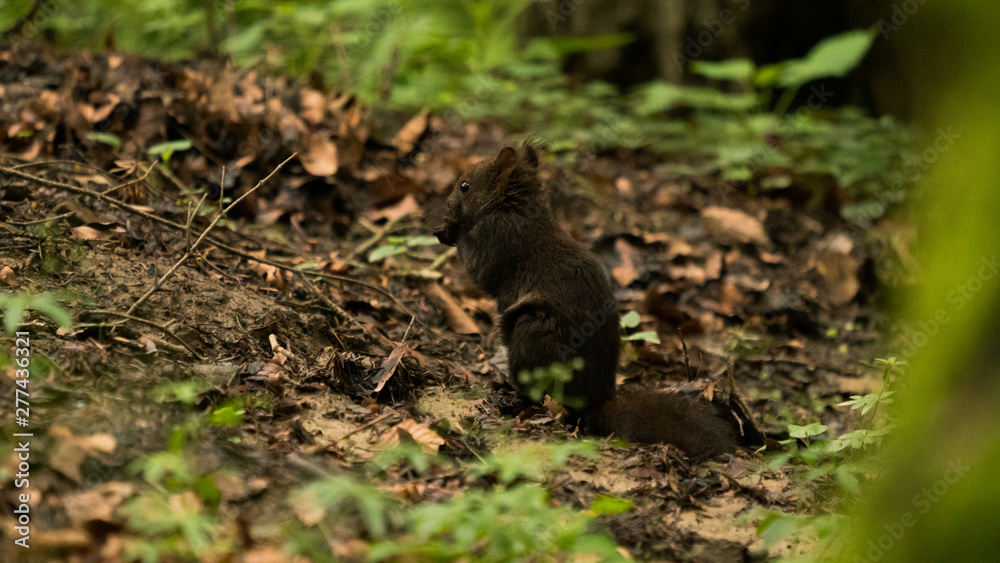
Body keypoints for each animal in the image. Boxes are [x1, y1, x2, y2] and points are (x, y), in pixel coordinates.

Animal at [433, 143, 738, 458]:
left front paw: (450, 229)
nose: (447, 203)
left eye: (465, 186)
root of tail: (595, 401)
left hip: (535, 332)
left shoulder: (496, 238)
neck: (515, 208)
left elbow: (478, 269)